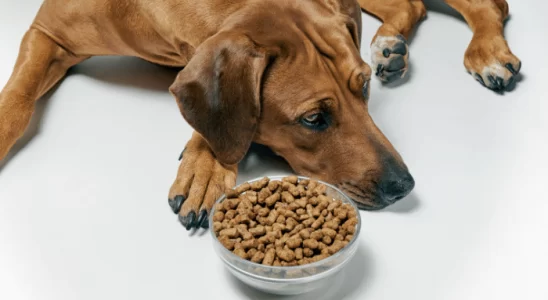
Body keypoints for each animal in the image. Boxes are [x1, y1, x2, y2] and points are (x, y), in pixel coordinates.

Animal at [0, 0, 524, 230]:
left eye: (363, 88)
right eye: (313, 119)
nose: (404, 185)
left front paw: (205, 163)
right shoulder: (46, 31)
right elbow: (17, 101)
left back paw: (487, 51)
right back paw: (390, 43)